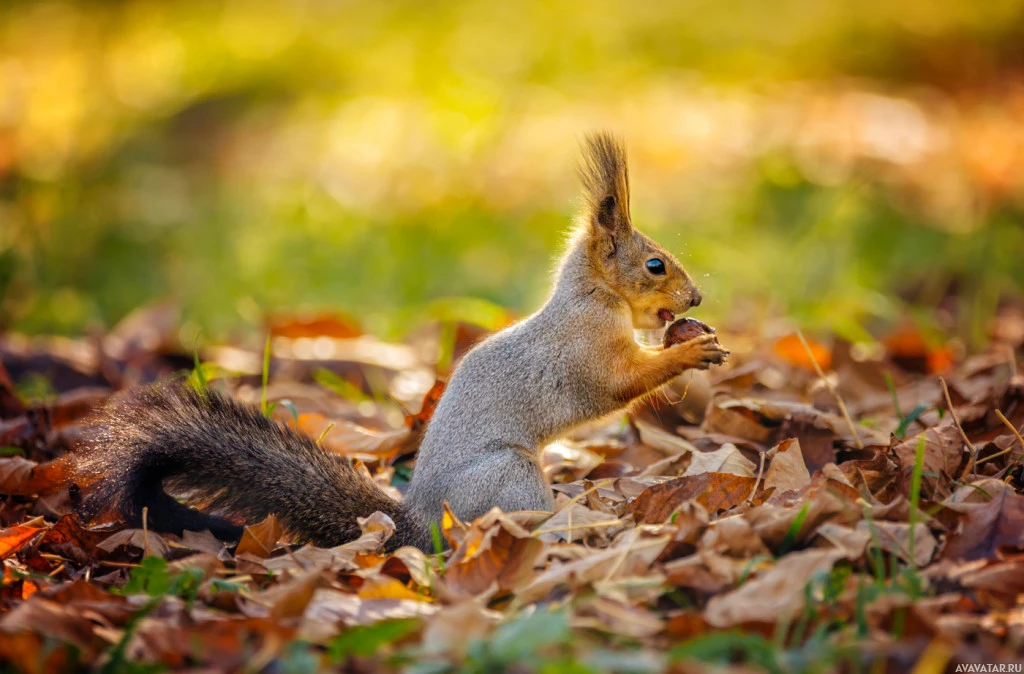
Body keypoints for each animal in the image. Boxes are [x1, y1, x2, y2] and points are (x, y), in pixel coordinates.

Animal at [74, 132, 729, 553]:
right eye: (654, 265)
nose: (697, 299)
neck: (592, 298)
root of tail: (420, 525)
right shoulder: (587, 351)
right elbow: (621, 384)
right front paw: (689, 352)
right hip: (507, 475)